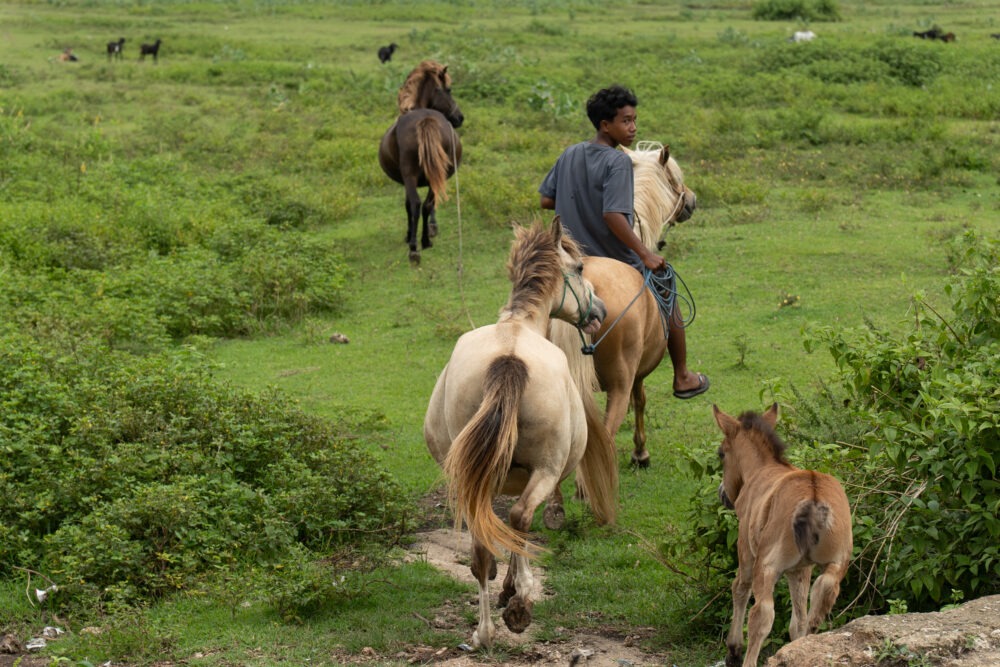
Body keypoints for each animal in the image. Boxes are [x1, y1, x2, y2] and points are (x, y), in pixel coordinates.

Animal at [378, 60, 464, 265]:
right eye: (448, 90)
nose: (460, 118)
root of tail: (425, 119)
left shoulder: (407, 180)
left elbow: (408, 205)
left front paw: (410, 234)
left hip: (410, 175)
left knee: (416, 204)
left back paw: (414, 247)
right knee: (425, 205)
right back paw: (423, 241)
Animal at [424, 218, 617, 649]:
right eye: (580, 268)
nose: (599, 309)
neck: (518, 325)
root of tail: (509, 359)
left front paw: (505, 587)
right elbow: (515, 530)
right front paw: (515, 589)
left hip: (472, 480)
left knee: (481, 551)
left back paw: (483, 632)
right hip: (545, 471)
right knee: (520, 517)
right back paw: (519, 608)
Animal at [713, 404, 853, 667]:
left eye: (721, 453)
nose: (723, 494)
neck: (762, 469)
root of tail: (814, 497)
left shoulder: (746, 550)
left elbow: (739, 588)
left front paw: (733, 650)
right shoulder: (800, 569)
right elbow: (797, 622)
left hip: (768, 564)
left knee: (762, 614)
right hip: (837, 560)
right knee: (822, 595)